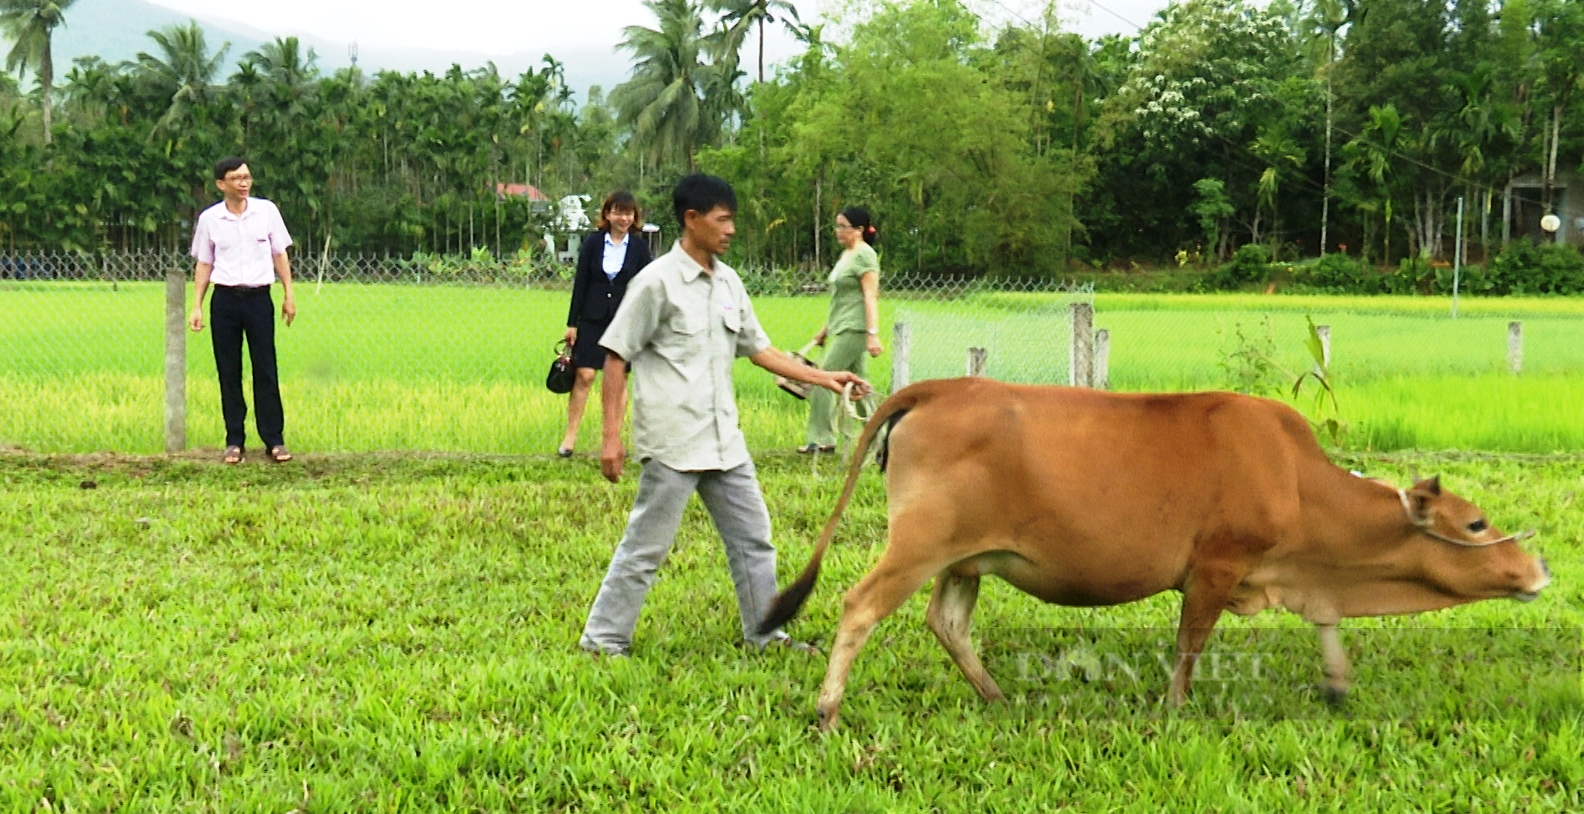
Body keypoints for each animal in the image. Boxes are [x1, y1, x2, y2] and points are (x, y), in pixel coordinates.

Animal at [760, 376, 1552, 725]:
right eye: (1476, 524)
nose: (1539, 569)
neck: (1298, 482)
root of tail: (935, 388)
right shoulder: (1216, 568)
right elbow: (1189, 644)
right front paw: (1174, 708)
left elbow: (1325, 624)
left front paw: (1335, 682)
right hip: (919, 545)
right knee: (860, 606)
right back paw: (828, 709)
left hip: (966, 558)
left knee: (947, 623)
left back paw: (996, 696)